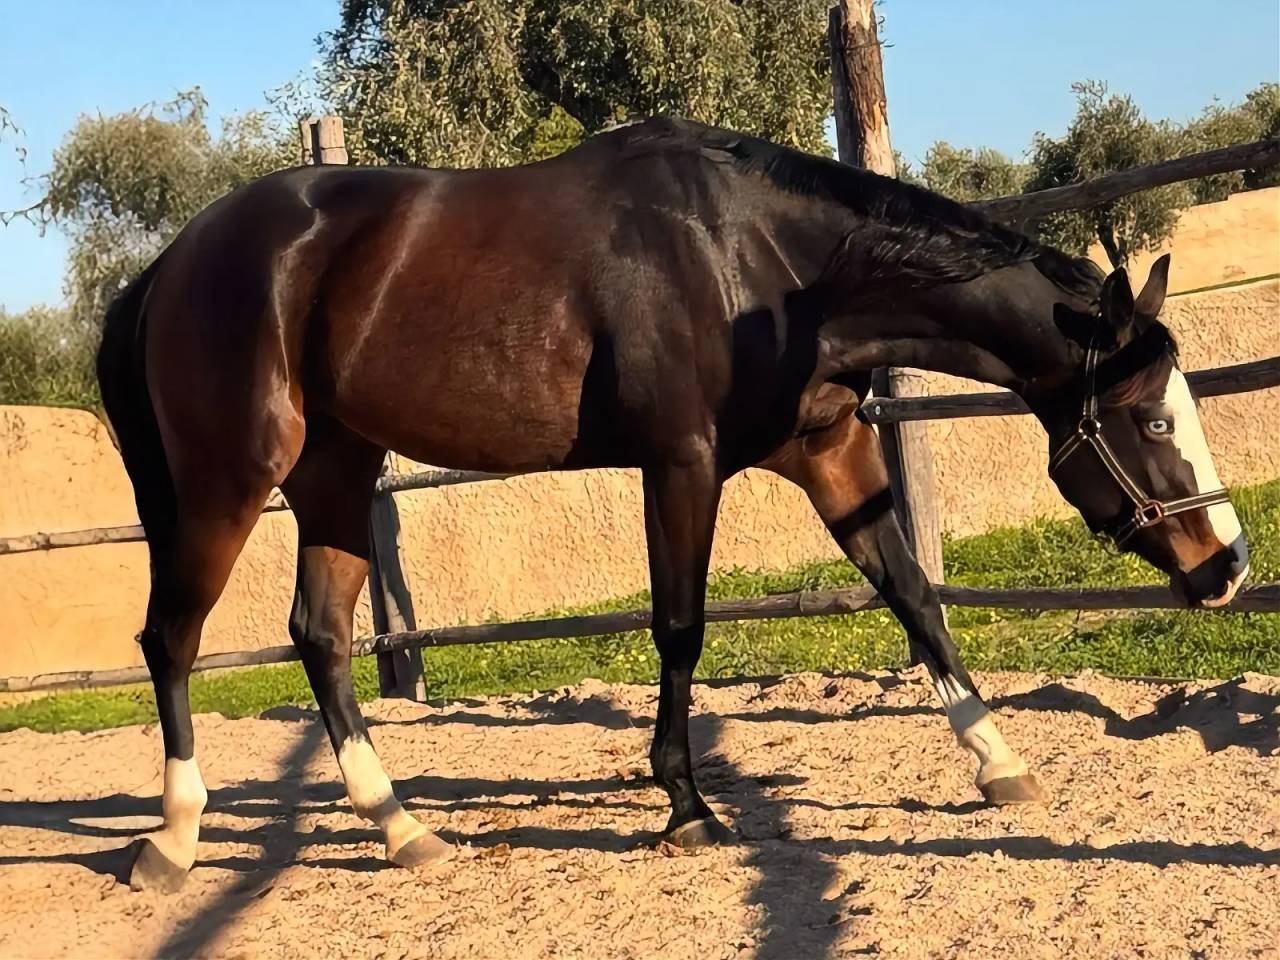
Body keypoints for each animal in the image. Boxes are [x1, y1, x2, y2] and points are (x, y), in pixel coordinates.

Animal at [96, 117, 1250, 892]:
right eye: (1153, 422)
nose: (1228, 567)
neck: (762, 266)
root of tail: (172, 263)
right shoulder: (681, 465)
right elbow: (681, 627)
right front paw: (687, 806)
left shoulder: (830, 452)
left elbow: (915, 597)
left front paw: (1000, 762)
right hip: (229, 479)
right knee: (171, 637)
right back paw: (173, 841)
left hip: (335, 475)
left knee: (321, 638)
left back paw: (403, 829)